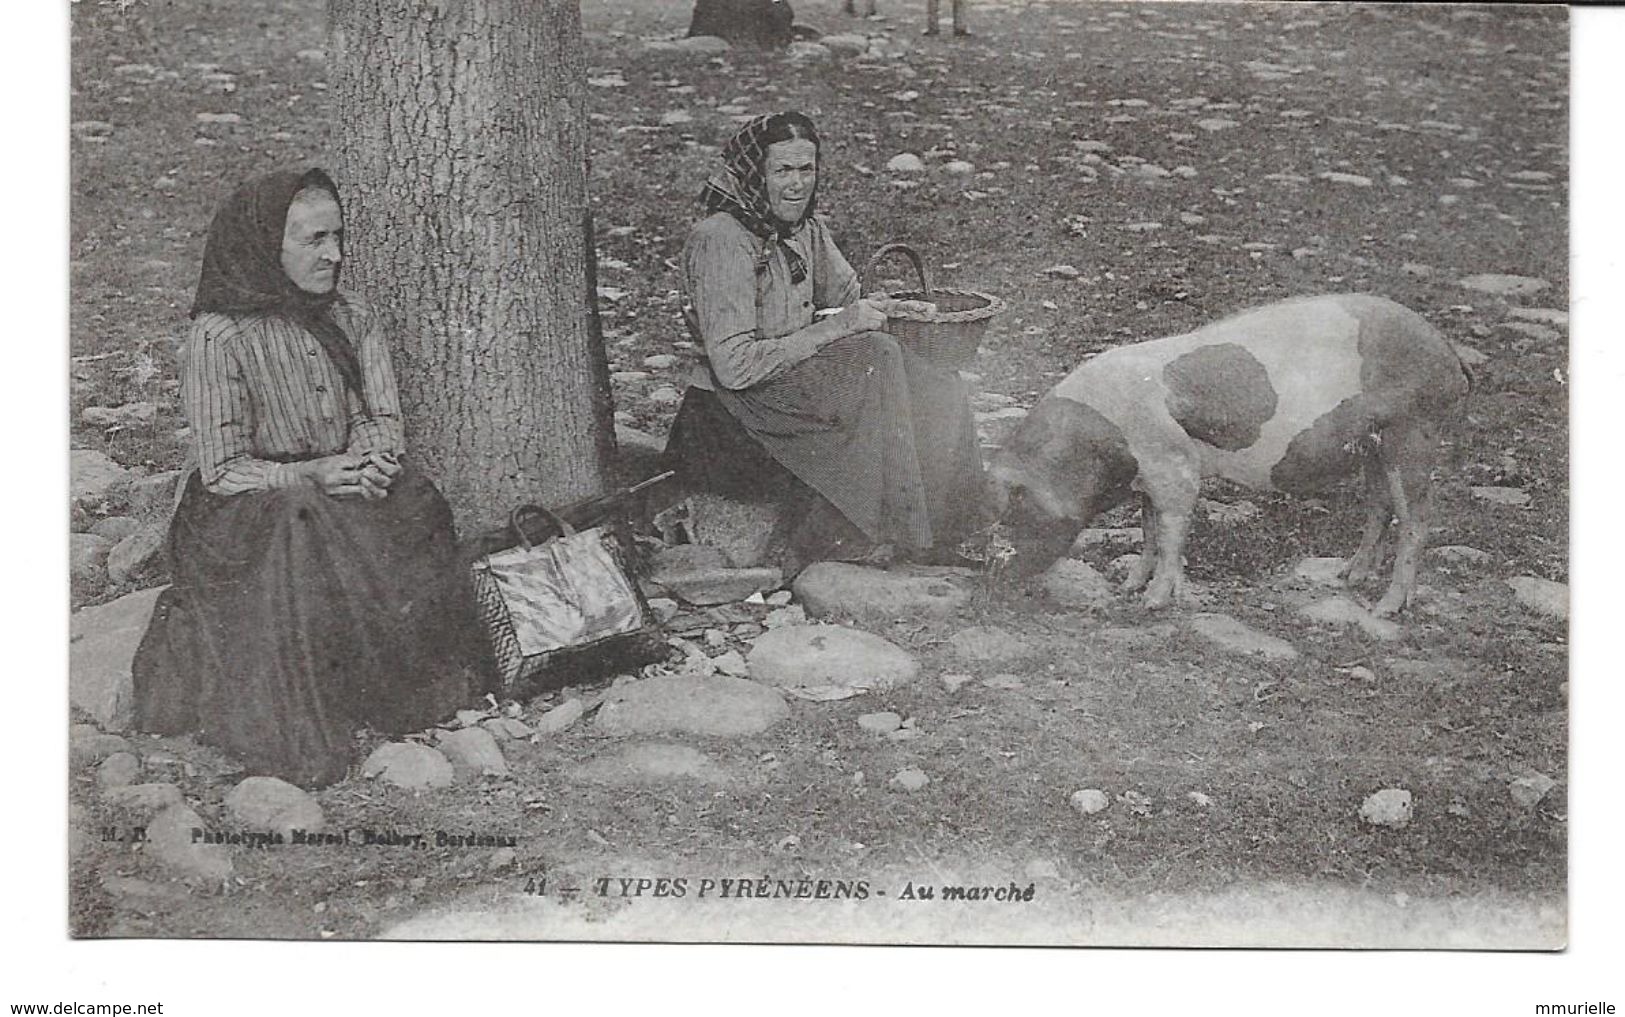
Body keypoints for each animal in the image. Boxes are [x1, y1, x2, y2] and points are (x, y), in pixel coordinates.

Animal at [988, 290, 1475, 610]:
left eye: (1013, 512)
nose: (993, 573)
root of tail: (1448, 351)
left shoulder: (1174, 466)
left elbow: (1171, 533)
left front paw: (1152, 603)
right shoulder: (1149, 478)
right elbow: (1149, 532)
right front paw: (1127, 586)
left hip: (1413, 433)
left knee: (1417, 519)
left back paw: (1387, 607)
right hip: (1373, 445)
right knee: (1379, 505)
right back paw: (1347, 577)